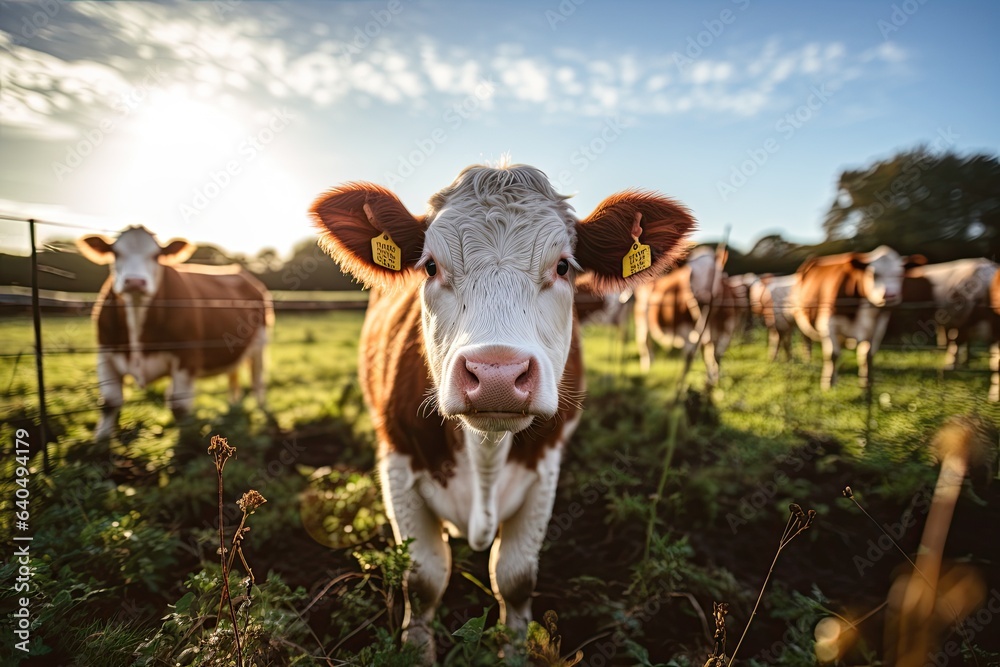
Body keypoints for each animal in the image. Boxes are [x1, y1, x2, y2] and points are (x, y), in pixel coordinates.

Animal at [77, 227, 272, 440]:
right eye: (115, 253)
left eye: (156, 255)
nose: (135, 281)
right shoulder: (104, 355)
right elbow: (110, 402)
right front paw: (101, 439)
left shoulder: (186, 358)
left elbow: (179, 405)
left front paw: (185, 439)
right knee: (233, 375)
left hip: (260, 345)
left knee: (257, 381)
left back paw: (261, 410)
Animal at [308, 164, 692, 660]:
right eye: (430, 265)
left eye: (563, 266)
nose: (496, 374)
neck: (484, 456)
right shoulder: (396, 464)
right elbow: (423, 580)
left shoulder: (545, 471)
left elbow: (515, 578)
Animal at [632, 245, 744, 384]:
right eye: (691, 276)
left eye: (713, 273)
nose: (702, 297)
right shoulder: (688, 333)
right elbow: (699, 354)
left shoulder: (727, 329)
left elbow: (716, 354)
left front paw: (715, 380)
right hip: (641, 321)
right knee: (644, 343)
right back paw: (647, 369)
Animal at [792, 247, 924, 392]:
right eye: (873, 274)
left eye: (900, 275)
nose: (890, 295)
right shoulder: (828, 324)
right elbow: (833, 355)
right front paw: (828, 385)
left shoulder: (879, 328)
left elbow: (866, 356)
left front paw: (866, 384)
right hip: (804, 322)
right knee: (809, 343)